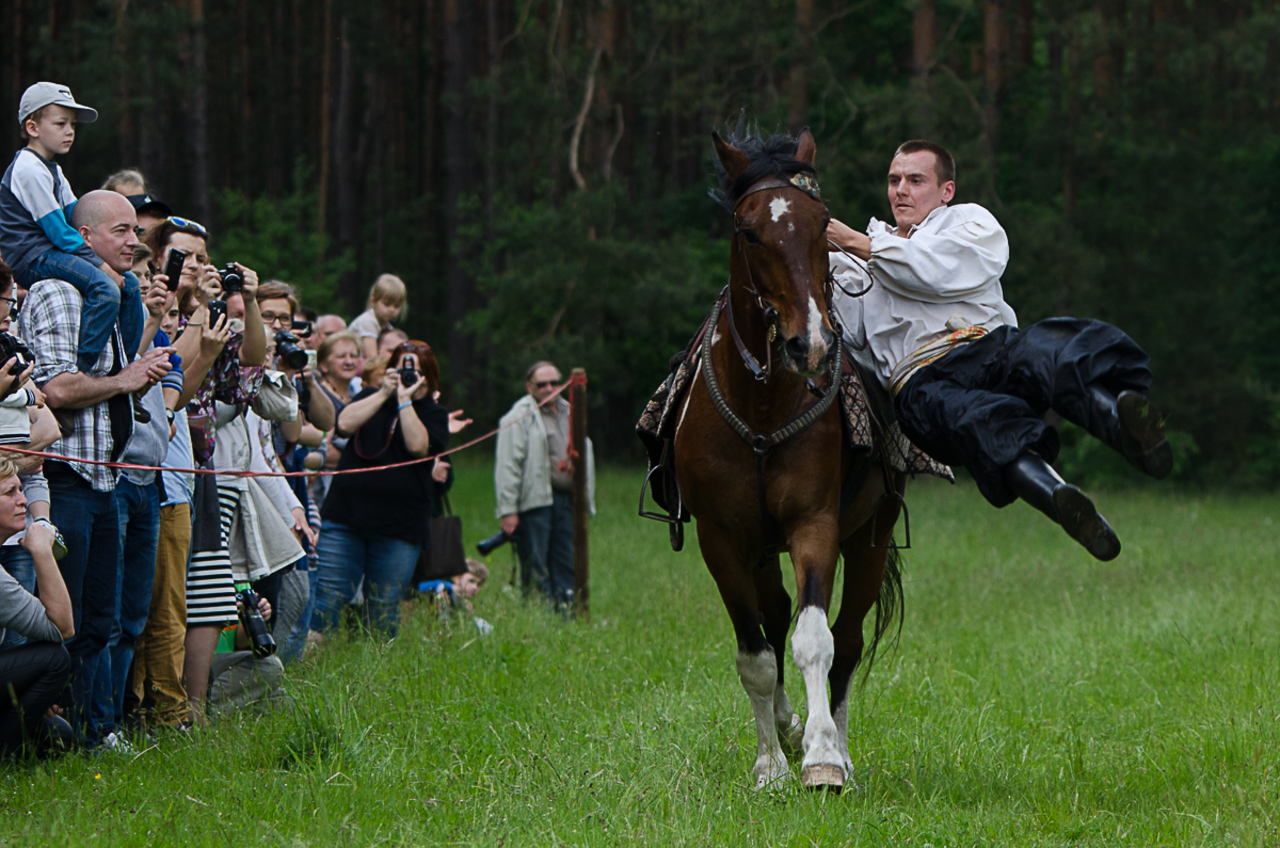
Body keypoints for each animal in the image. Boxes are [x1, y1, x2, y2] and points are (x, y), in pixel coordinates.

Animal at [675, 129, 906, 794]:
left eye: (822, 224)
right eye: (749, 230)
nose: (813, 344)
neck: (760, 407)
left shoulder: (814, 525)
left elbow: (815, 639)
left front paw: (823, 757)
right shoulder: (722, 539)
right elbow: (755, 653)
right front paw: (771, 763)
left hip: (871, 539)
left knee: (848, 640)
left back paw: (838, 745)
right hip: (758, 547)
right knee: (772, 617)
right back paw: (784, 724)